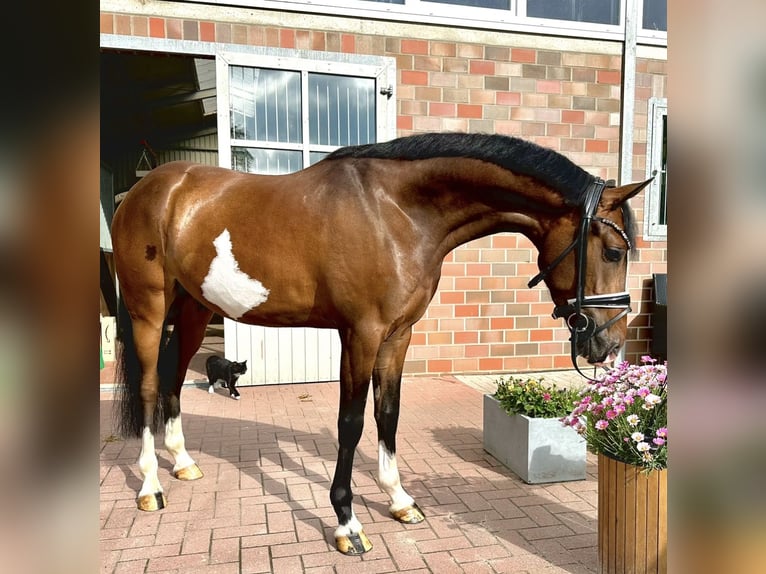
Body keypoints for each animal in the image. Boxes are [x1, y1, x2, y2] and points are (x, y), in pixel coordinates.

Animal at [112, 133, 656, 556]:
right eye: (613, 251)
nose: (609, 343)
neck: (397, 212)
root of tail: (145, 189)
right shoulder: (362, 333)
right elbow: (351, 423)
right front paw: (347, 523)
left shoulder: (398, 334)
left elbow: (388, 414)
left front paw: (399, 501)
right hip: (149, 311)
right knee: (147, 387)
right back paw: (150, 486)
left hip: (194, 308)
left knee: (175, 376)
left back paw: (183, 464)